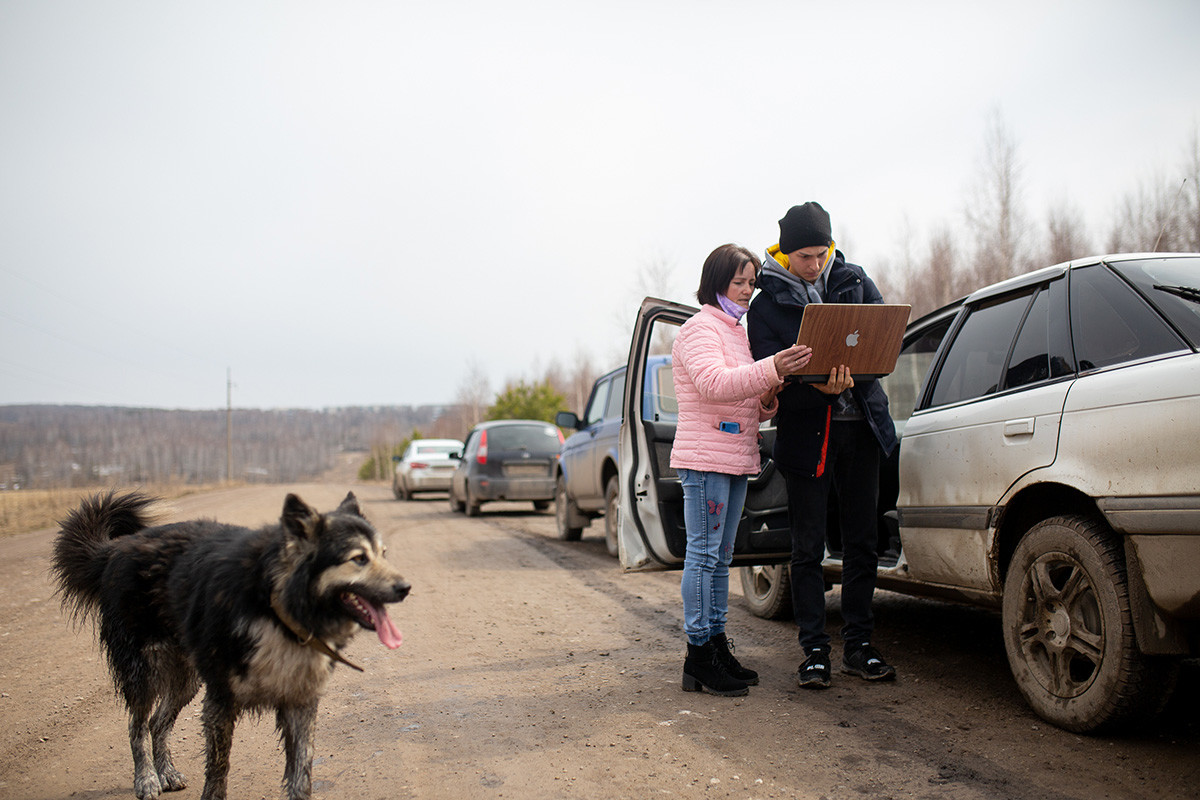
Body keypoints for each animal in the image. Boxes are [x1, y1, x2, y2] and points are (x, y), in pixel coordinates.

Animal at [52, 491, 408, 800]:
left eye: (384, 554)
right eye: (359, 559)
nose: (406, 587)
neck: (276, 607)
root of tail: (117, 549)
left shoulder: (300, 701)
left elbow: (301, 774)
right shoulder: (221, 701)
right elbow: (219, 769)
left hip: (187, 680)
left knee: (158, 722)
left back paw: (166, 772)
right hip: (144, 672)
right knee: (137, 725)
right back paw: (147, 779)